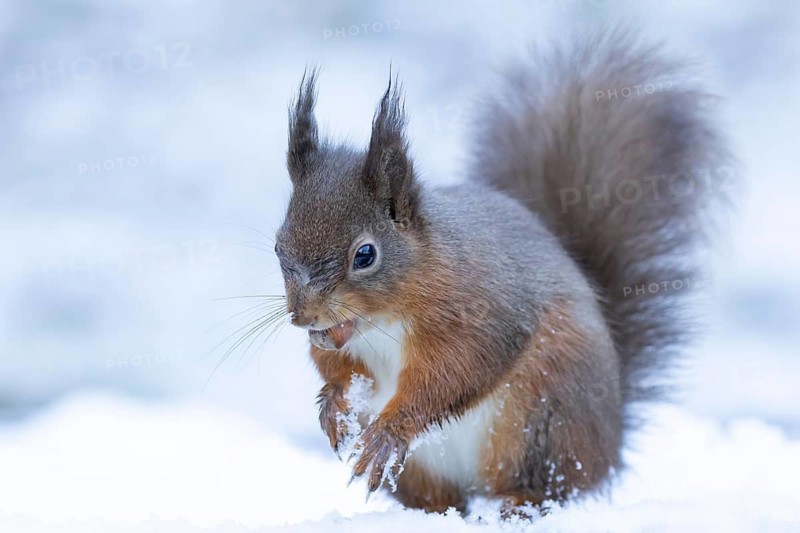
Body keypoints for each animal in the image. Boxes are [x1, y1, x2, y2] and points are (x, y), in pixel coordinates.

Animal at [273, 29, 727, 515]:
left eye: (364, 255)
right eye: (278, 246)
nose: (303, 316)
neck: (383, 320)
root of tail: (611, 444)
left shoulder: (479, 310)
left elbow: (454, 372)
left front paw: (391, 430)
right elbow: (336, 366)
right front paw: (334, 403)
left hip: (543, 414)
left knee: (555, 485)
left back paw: (519, 501)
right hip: (428, 468)